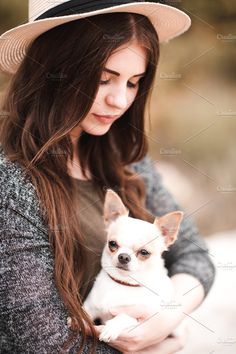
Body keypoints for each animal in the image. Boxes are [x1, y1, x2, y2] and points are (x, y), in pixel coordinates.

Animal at [83, 191, 184, 342]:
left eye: (144, 252)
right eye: (112, 244)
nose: (124, 257)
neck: (123, 284)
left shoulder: (138, 316)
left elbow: (124, 316)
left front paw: (111, 328)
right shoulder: (91, 305)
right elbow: (84, 311)